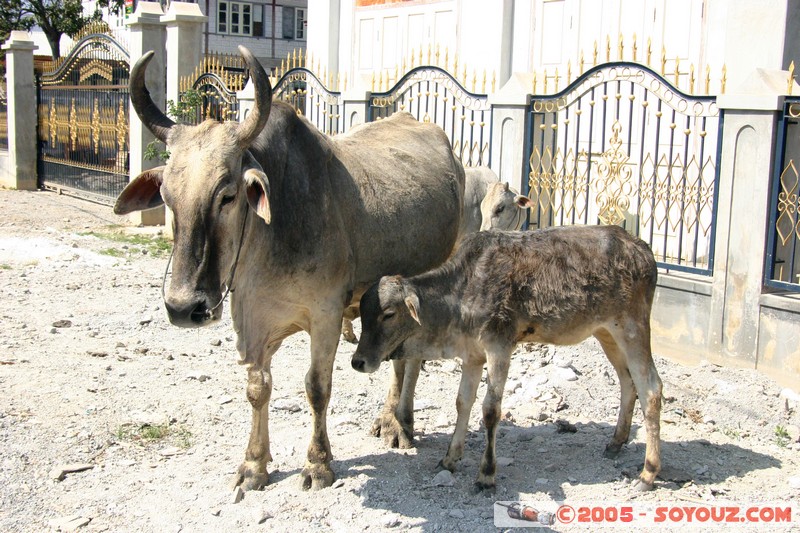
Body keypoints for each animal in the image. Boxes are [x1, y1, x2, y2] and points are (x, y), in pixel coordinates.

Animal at [111, 46, 462, 490]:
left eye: (227, 195)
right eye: (168, 196)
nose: (183, 308)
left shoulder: (326, 314)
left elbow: (317, 388)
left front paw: (318, 464)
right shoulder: (253, 319)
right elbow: (258, 388)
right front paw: (254, 465)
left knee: (407, 360)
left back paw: (397, 422)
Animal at [352, 224, 664, 490]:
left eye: (388, 314)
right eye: (362, 314)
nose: (358, 361)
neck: (462, 293)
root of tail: (642, 248)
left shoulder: (499, 347)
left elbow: (490, 410)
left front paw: (486, 474)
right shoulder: (472, 355)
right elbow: (462, 403)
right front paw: (450, 458)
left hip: (633, 328)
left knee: (651, 388)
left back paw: (648, 473)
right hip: (606, 332)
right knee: (628, 382)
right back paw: (616, 443)